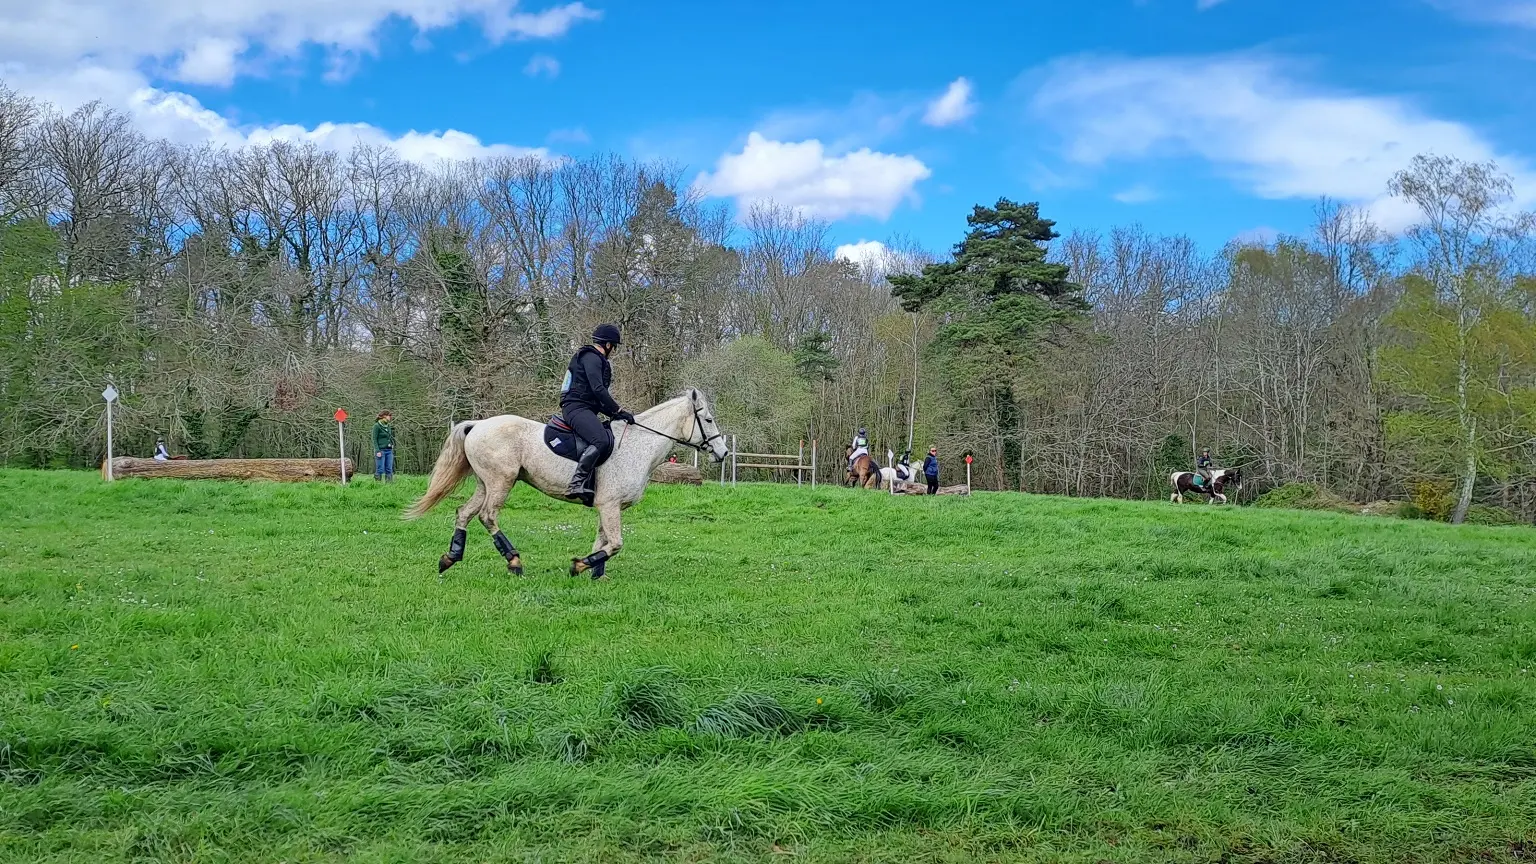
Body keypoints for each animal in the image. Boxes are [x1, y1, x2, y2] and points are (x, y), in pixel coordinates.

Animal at [404, 388, 729, 581]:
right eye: (708, 420)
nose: (723, 453)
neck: (638, 446)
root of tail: (478, 424)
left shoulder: (607, 506)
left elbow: (603, 541)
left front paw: (595, 573)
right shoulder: (610, 504)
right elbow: (615, 543)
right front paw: (580, 566)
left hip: (486, 482)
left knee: (464, 513)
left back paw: (450, 558)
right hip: (501, 481)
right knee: (488, 516)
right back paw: (514, 561)